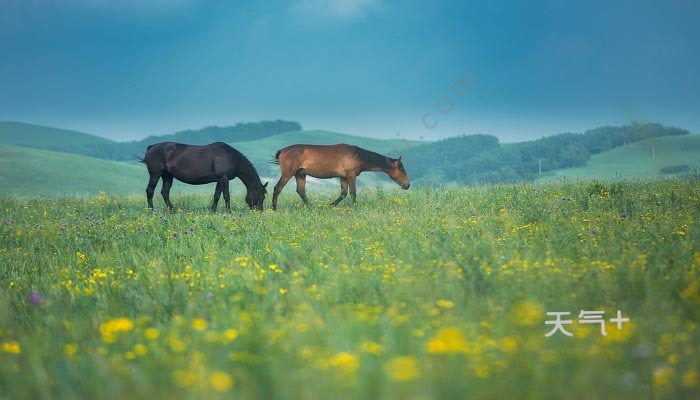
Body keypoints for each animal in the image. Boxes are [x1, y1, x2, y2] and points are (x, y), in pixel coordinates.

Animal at [139, 143, 268, 212]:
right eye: (261, 196)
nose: (260, 212)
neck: (231, 157)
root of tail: (151, 147)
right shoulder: (224, 178)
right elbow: (226, 196)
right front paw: (229, 212)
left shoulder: (219, 180)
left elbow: (217, 196)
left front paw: (213, 211)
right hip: (155, 174)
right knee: (150, 191)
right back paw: (152, 210)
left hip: (167, 176)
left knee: (165, 192)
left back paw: (172, 210)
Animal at [270, 145, 410, 212]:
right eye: (402, 170)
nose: (407, 185)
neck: (358, 155)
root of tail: (282, 151)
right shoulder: (351, 175)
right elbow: (353, 193)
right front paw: (354, 208)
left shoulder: (343, 177)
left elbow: (343, 193)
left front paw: (330, 205)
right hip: (288, 173)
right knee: (277, 188)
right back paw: (273, 208)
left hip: (300, 174)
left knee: (301, 191)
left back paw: (313, 207)